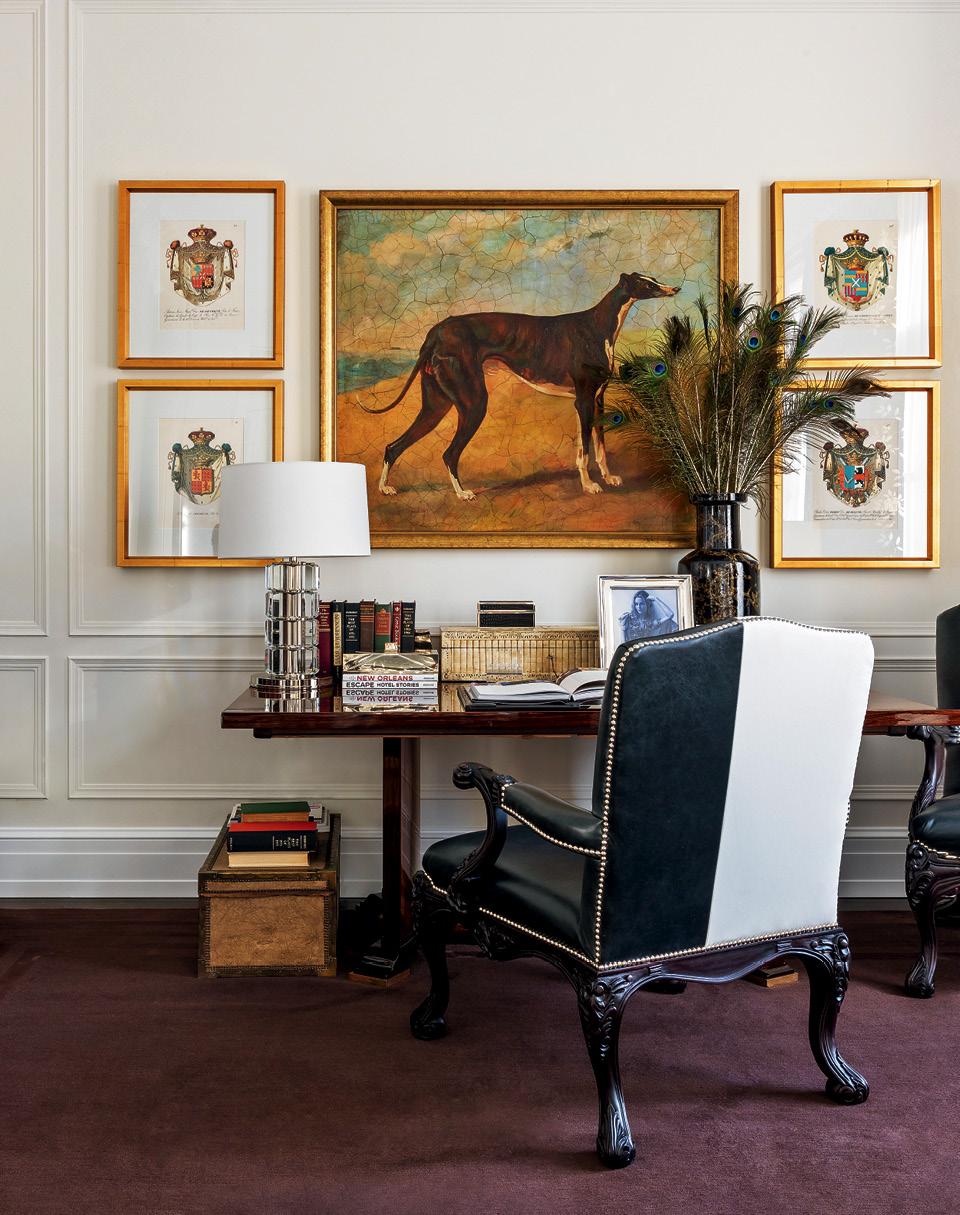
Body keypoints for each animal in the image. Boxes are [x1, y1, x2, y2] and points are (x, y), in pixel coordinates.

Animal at [361, 272, 678, 499]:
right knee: (449, 453)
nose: (674, 288)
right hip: (473, 403)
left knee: (393, 446)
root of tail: (435, 332)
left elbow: (597, 445)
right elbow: (586, 448)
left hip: (436, 405)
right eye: (646, 283)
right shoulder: (584, 400)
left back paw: (385, 488)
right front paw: (589, 486)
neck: (598, 325)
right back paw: (463, 493)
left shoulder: (597, 399)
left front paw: (608, 478)